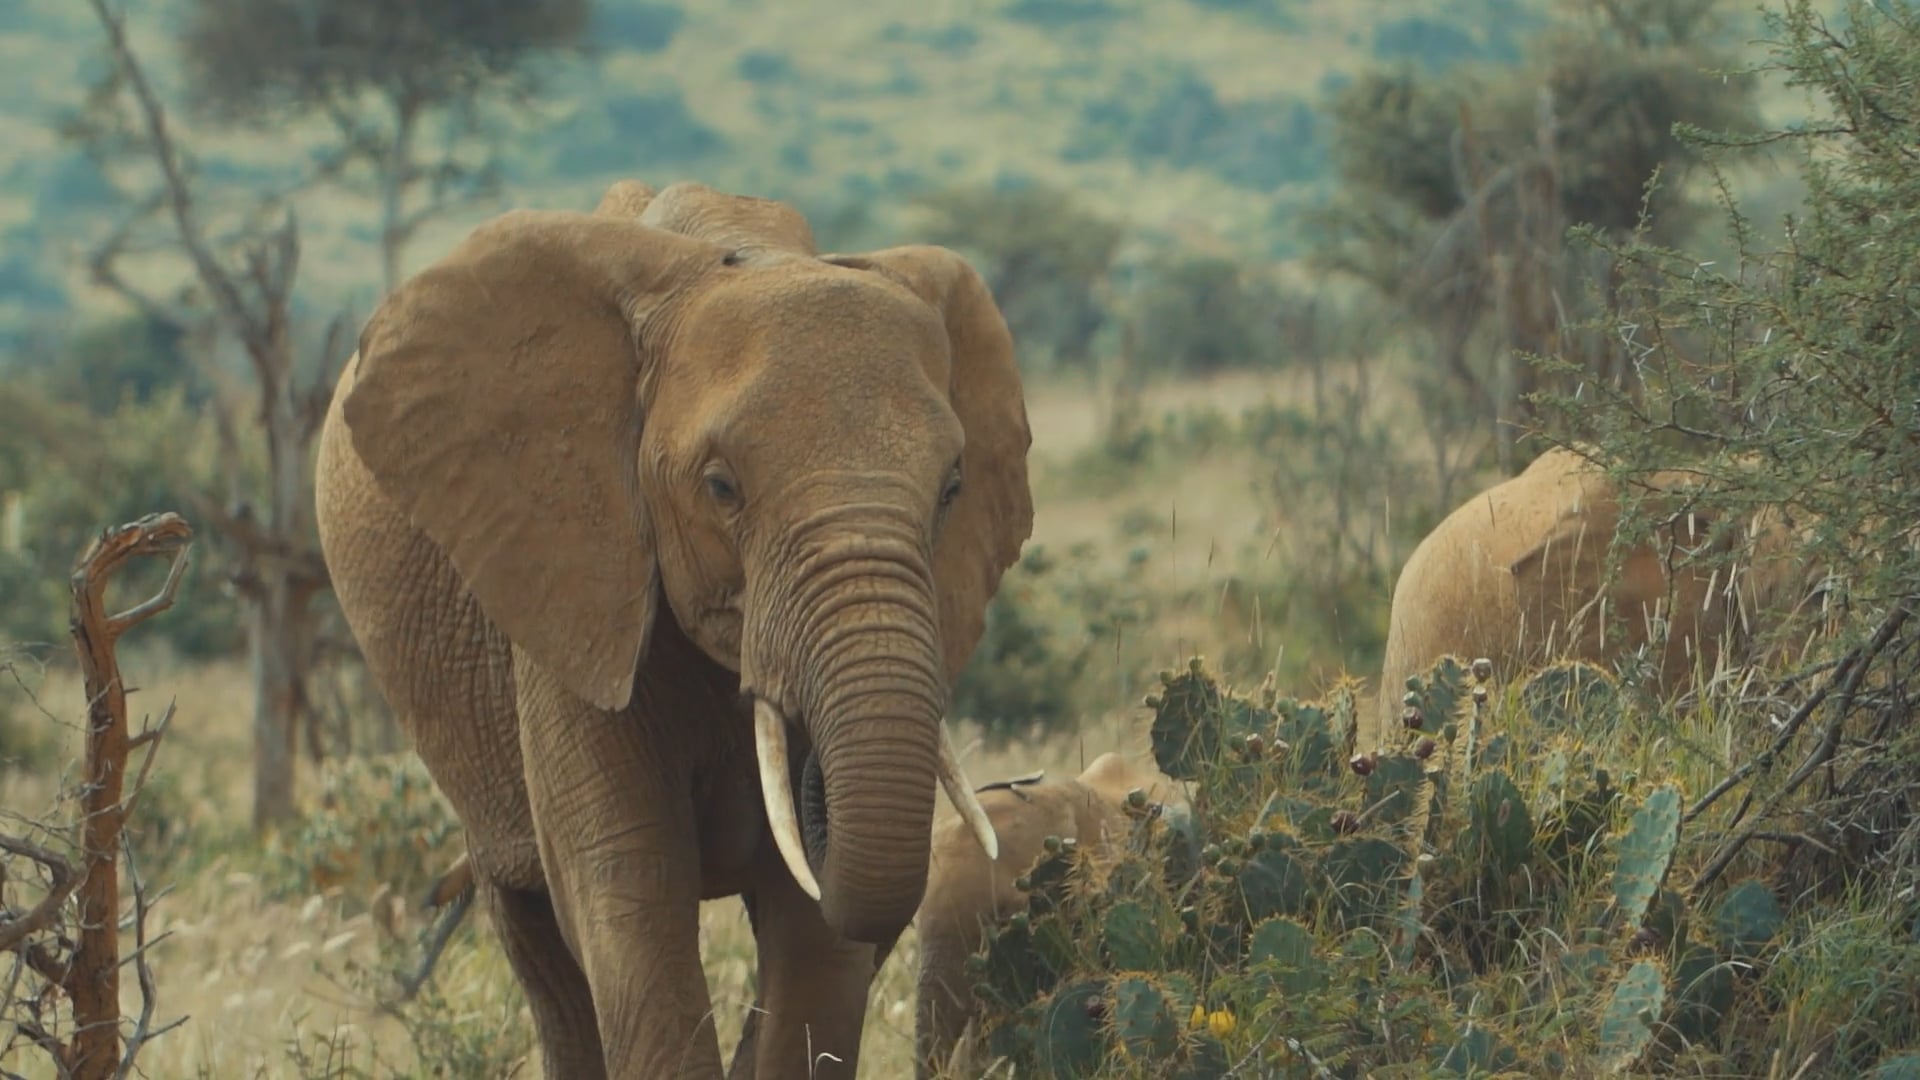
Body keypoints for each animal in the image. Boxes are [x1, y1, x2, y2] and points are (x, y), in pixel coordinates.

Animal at [314, 178, 1035, 1078]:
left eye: (952, 487)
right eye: (721, 487)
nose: (816, 789)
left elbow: (814, 944)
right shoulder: (576, 578)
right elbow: (632, 892)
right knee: (538, 942)